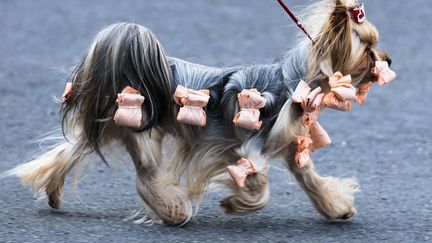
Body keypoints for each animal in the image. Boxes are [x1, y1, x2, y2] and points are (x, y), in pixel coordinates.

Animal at [3, 0, 394, 226]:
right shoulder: (250, 147)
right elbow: (260, 184)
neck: (295, 80)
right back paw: (174, 212)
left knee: (69, 150)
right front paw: (236, 204)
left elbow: (310, 179)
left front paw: (336, 207)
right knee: (145, 177)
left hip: (111, 125)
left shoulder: (287, 146)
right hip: (139, 128)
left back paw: (52, 192)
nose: (389, 60)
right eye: (368, 49)